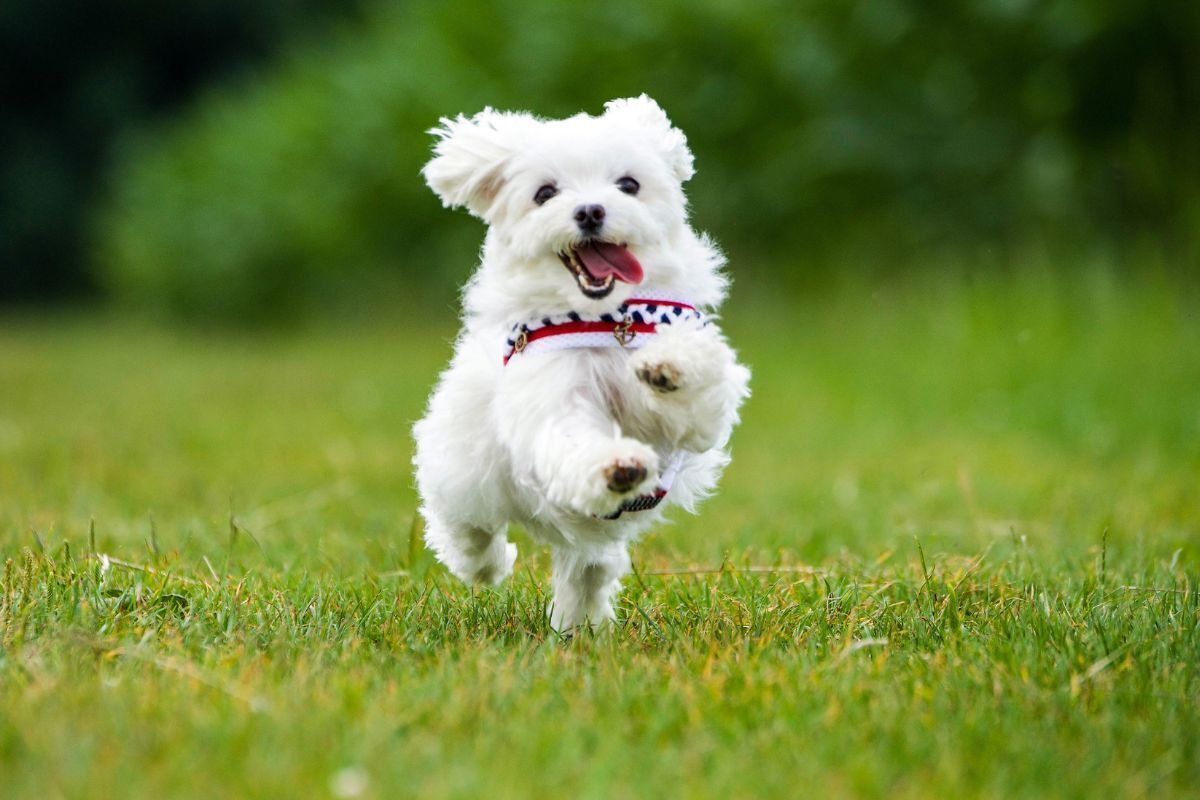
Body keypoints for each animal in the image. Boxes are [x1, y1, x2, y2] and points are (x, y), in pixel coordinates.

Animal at [415, 95, 748, 633]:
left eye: (629, 184)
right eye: (545, 193)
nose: (590, 210)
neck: (606, 320)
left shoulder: (694, 417)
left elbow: (698, 394)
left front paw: (667, 366)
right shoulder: (552, 402)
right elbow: (574, 438)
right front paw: (617, 465)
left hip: (586, 544)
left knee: (587, 569)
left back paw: (579, 626)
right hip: (465, 472)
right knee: (469, 533)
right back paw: (489, 565)